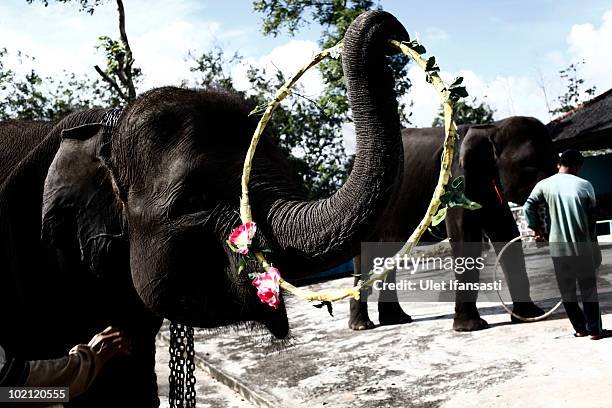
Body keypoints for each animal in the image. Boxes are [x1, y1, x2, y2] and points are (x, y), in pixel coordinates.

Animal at [346, 117, 556, 332]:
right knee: (366, 257)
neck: (491, 128)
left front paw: (531, 316)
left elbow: (505, 232)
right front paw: (470, 328)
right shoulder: (455, 181)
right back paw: (362, 326)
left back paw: (397, 320)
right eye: (530, 166)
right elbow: (464, 237)